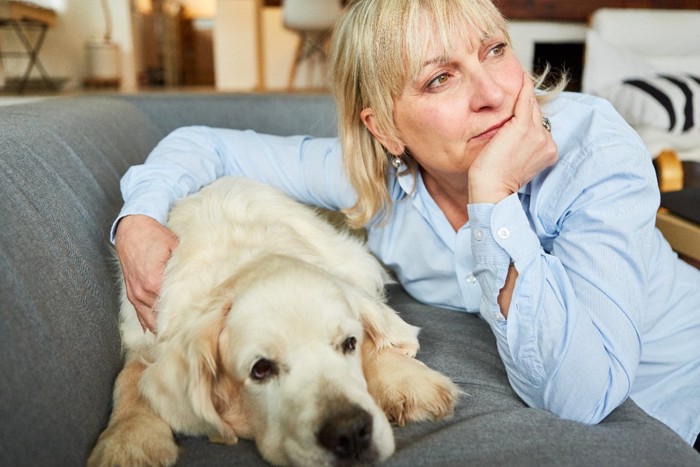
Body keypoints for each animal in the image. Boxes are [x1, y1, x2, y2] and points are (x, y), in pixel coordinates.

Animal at [87, 177, 460, 466]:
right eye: (261, 369)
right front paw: (128, 441)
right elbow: (129, 379)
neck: (242, 261)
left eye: (348, 343)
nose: (351, 433)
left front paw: (406, 381)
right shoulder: (144, 334)